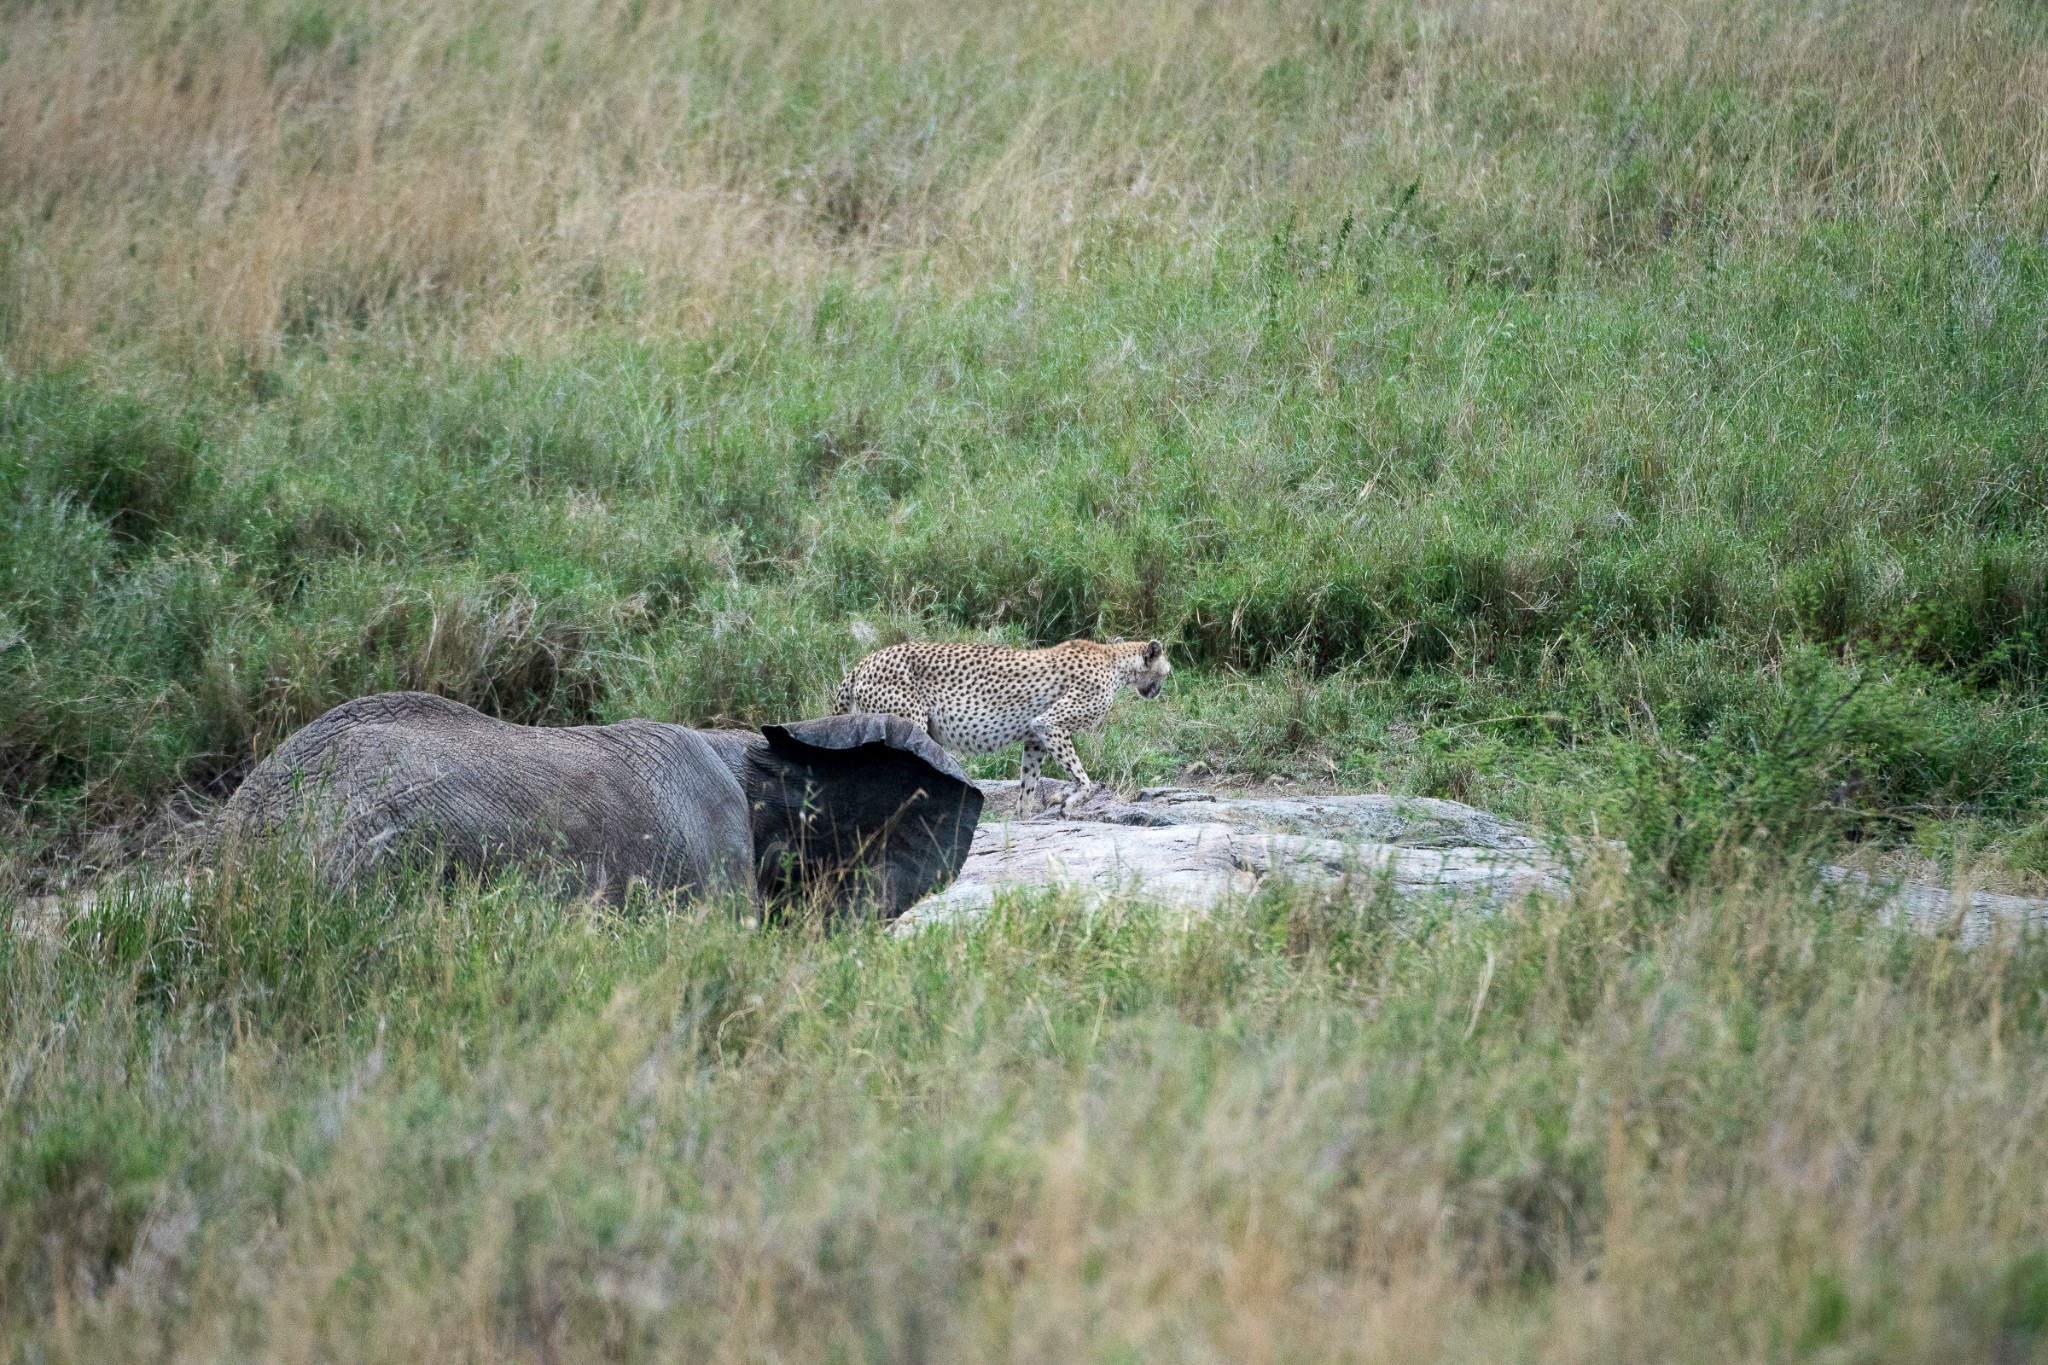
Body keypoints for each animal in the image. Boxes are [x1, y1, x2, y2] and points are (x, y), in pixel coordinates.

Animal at [839, 638, 1179, 818]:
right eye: (1166, 671)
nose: (1158, 690)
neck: (1115, 661)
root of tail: (865, 660)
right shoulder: (1050, 723)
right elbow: (1083, 779)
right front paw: (1069, 804)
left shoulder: (1036, 737)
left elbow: (1028, 783)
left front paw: (1023, 819)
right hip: (909, 725)